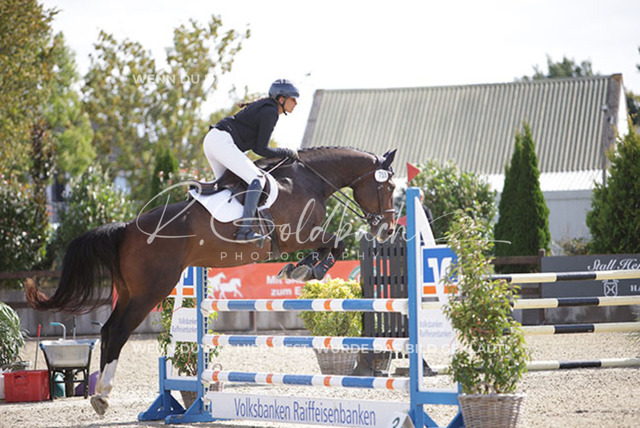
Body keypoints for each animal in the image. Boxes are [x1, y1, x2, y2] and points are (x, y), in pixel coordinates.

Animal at [26, 146, 397, 415]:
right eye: (389, 186)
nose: (387, 230)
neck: (307, 179)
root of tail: (126, 229)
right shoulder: (298, 235)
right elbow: (335, 242)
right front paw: (309, 269)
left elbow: (328, 245)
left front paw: (299, 268)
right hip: (151, 290)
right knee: (117, 330)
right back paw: (102, 397)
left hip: (132, 291)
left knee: (107, 330)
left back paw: (101, 394)